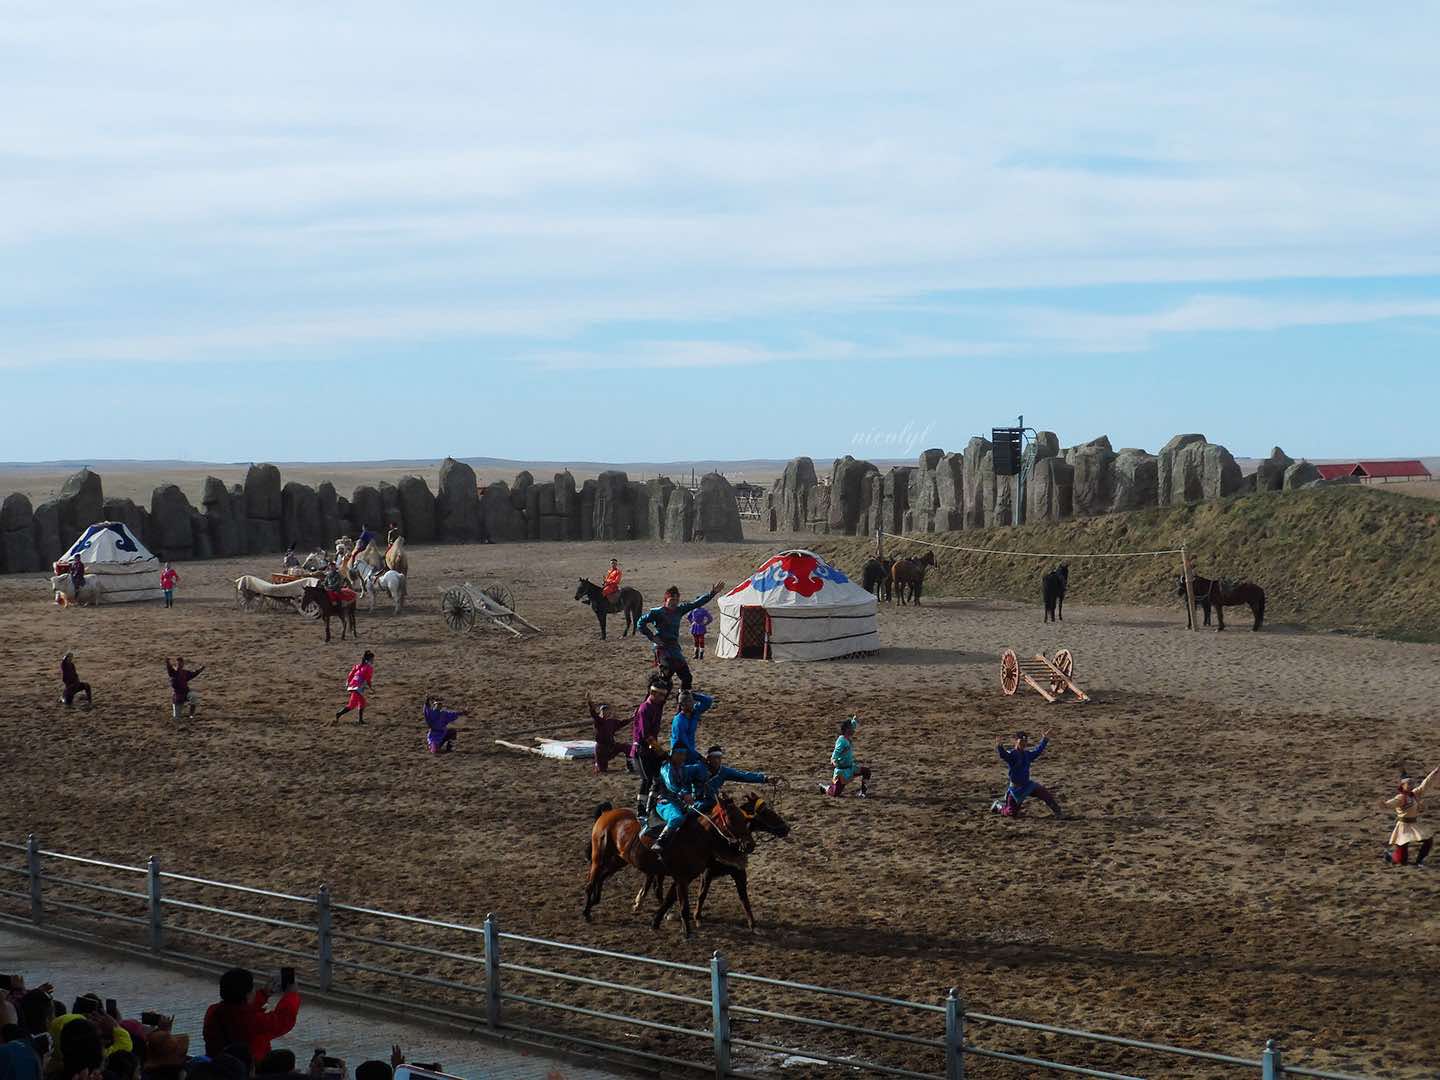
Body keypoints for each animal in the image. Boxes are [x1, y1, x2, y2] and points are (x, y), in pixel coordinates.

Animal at [587, 794, 760, 938]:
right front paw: (687, 932)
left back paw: (596, 900)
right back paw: (586, 912)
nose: (750, 845)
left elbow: (669, 900)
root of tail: (607, 814)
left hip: (619, 859)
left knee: (601, 877)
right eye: (731, 818)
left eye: (744, 818)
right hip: (599, 857)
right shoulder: (682, 878)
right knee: (591, 881)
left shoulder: (684, 878)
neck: (696, 837)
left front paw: (656, 922)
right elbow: (683, 905)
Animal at [636, 789, 794, 933]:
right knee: (655, 886)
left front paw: (753, 925)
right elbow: (702, 894)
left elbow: (744, 897)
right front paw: (697, 918)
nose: (786, 828)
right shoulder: (707, 872)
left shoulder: (738, 872)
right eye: (765, 812)